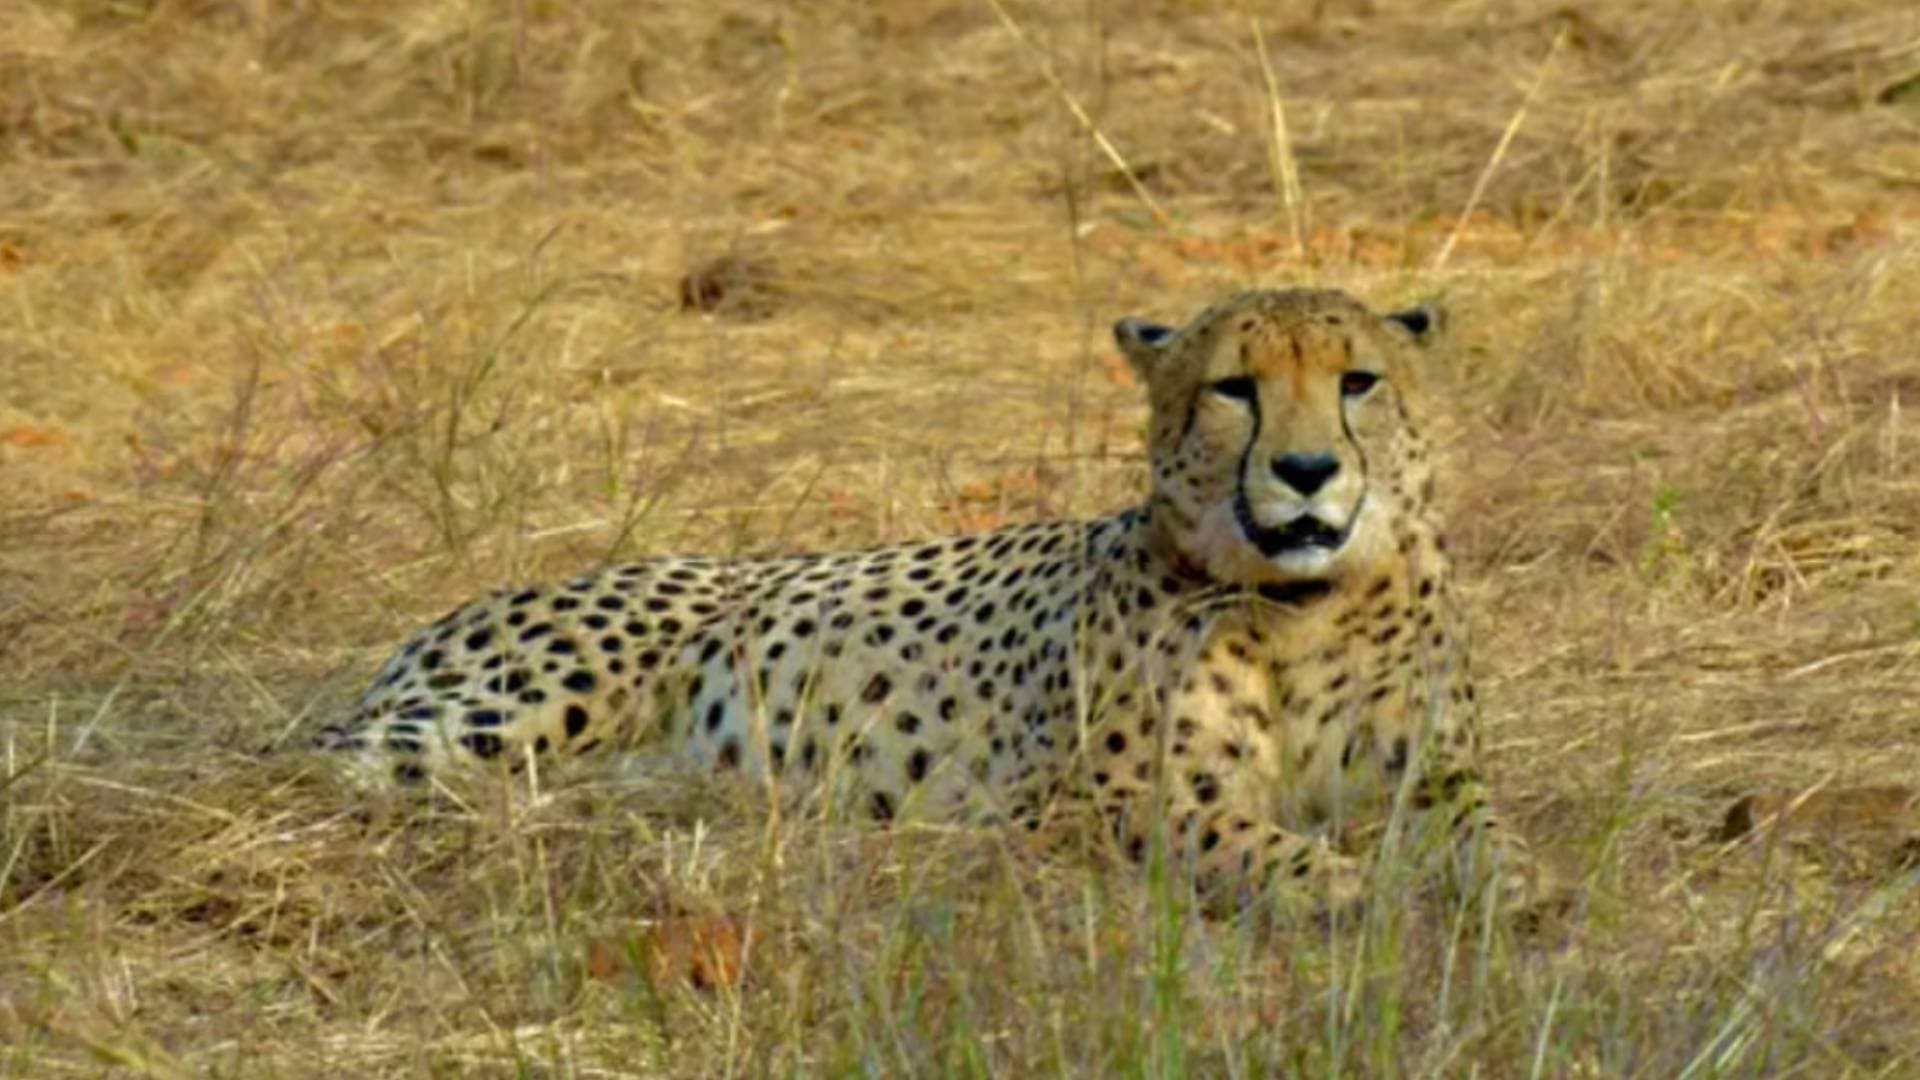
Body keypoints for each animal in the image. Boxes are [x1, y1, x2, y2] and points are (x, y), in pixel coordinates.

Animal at [316, 286, 1537, 915]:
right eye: (1234, 389)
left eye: (1357, 382)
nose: (1307, 471)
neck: (1301, 604)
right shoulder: (1103, 801)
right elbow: (1249, 841)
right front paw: (1346, 887)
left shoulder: (1434, 772)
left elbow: (1484, 834)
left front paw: (1512, 883)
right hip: (504, 715)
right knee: (322, 764)